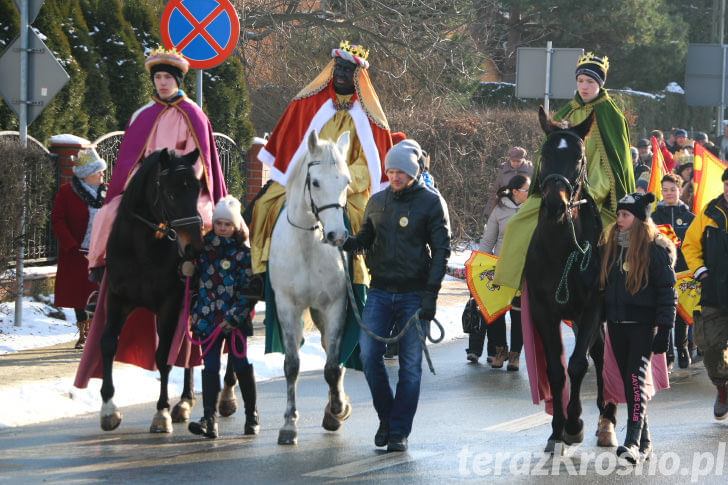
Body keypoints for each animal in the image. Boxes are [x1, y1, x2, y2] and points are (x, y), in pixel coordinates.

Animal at [99, 147, 205, 432]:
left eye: (197, 190)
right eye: (171, 193)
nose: (194, 248)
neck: (141, 250)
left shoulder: (169, 305)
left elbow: (163, 357)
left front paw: (161, 412)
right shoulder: (117, 299)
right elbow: (108, 344)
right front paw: (108, 408)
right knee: (190, 350)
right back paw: (185, 401)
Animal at [270, 127, 356, 442]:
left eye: (346, 181)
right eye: (315, 182)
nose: (337, 236)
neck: (307, 246)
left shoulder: (336, 306)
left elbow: (332, 365)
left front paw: (337, 410)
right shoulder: (286, 306)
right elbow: (292, 364)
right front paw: (288, 423)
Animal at [524, 108, 616, 452]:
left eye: (579, 157)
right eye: (545, 153)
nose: (555, 204)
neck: (561, 252)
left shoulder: (591, 308)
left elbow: (578, 364)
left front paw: (575, 423)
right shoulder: (543, 312)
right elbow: (555, 369)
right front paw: (557, 430)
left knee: (600, 356)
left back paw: (607, 418)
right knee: (598, 351)